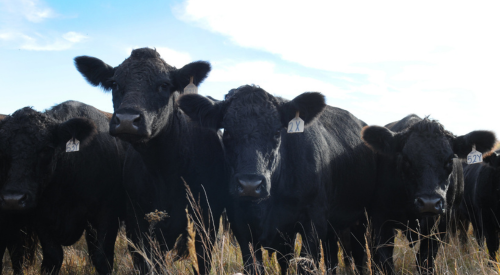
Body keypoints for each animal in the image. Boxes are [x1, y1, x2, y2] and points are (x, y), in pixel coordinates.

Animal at [0, 102, 126, 274]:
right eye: (3, 150)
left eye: (46, 148)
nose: (13, 199)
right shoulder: (41, 218)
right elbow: (53, 256)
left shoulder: (107, 214)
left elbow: (102, 258)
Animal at [73, 48, 229, 274]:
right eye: (114, 83)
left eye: (164, 84)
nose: (127, 120)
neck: (164, 170)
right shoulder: (137, 224)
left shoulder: (206, 222)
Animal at [178, 85, 376, 274]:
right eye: (227, 132)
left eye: (276, 132)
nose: (250, 185)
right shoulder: (241, 226)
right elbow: (255, 266)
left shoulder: (313, 221)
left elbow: (304, 266)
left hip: (360, 220)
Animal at [360, 114, 496, 274]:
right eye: (405, 159)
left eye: (450, 160)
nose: (429, 203)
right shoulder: (381, 220)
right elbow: (385, 262)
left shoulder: (439, 225)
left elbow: (425, 261)